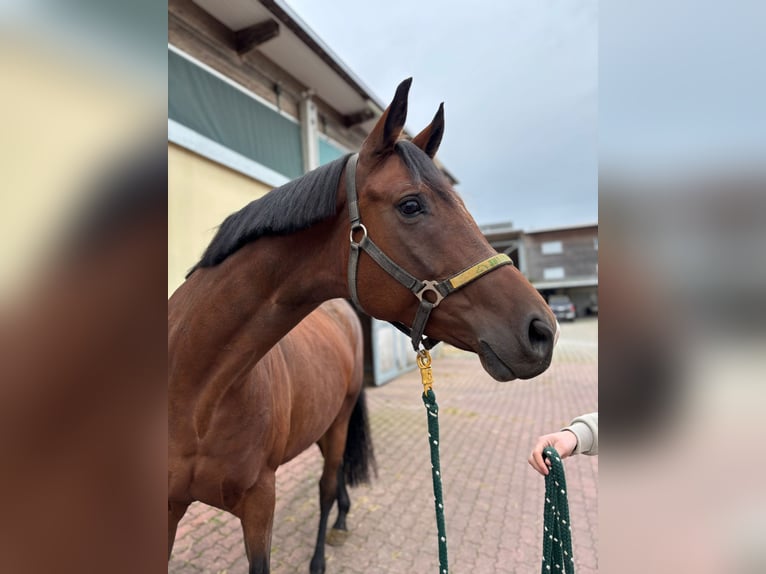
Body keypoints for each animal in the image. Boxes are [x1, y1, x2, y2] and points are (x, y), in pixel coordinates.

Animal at [168, 78, 559, 574]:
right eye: (411, 205)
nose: (541, 330)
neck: (197, 390)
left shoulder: (259, 503)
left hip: (338, 419)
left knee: (327, 483)